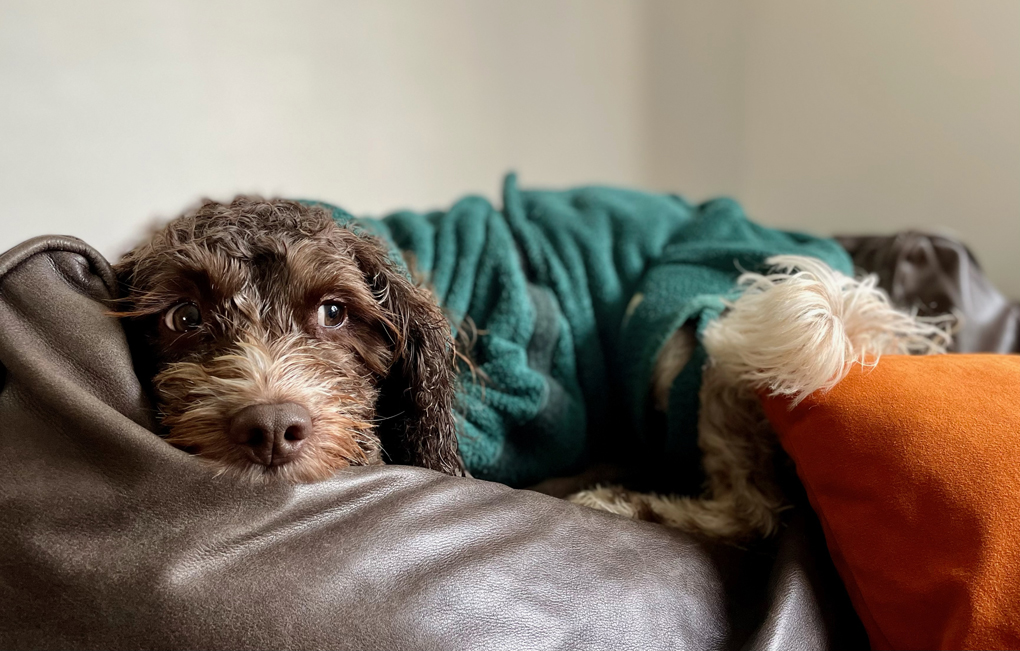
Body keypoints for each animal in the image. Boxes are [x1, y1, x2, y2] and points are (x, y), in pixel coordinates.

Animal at [115, 193, 950, 538]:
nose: (270, 426)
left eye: (334, 312)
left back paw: (631, 504)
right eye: (183, 318)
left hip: (700, 331)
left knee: (752, 507)